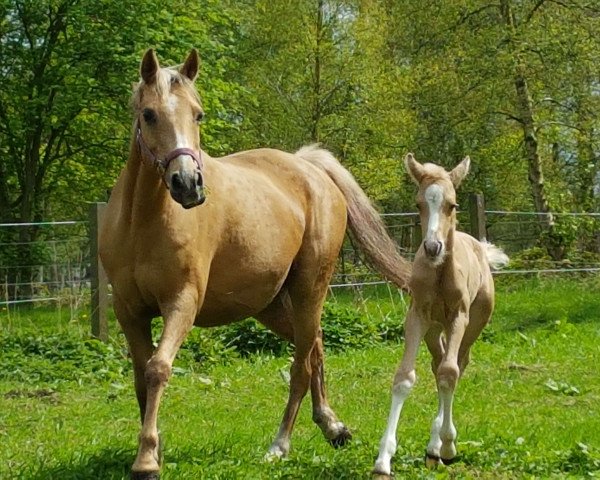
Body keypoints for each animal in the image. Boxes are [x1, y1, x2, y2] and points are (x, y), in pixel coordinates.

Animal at [372, 154, 508, 476]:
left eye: (453, 205)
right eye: (419, 204)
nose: (433, 247)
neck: (439, 273)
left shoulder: (459, 317)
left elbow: (450, 372)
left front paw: (448, 445)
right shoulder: (417, 317)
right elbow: (405, 377)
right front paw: (383, 460)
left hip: (473, 324)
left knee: (457, 363)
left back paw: (438, 445)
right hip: (434, 329)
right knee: (438, 363)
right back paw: (432, 447)